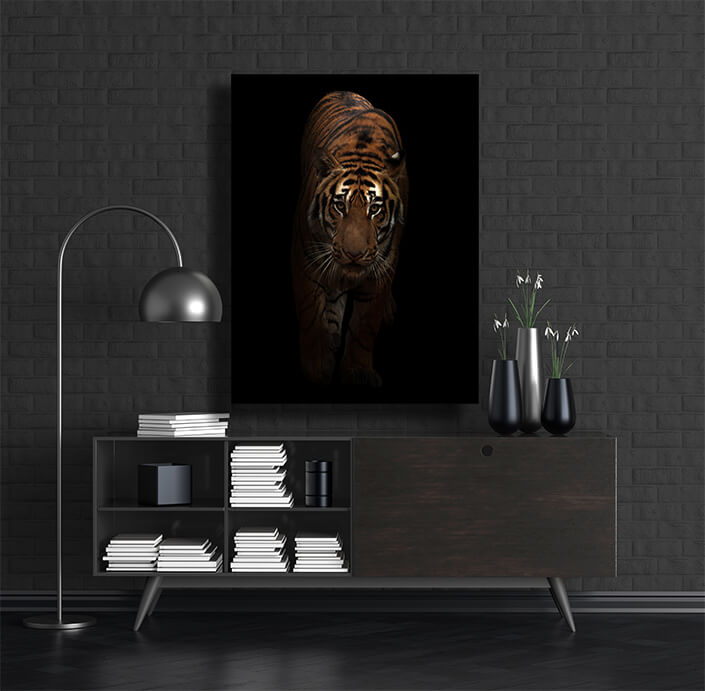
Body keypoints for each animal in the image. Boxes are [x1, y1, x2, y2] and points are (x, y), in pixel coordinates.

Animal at [292, 91, 408, 388]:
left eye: (375, 208)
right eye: (339, 206)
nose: (353, 254)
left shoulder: (381, 272)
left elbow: (364, 327)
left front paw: (357, 372)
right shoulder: (306, 261)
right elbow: (310, 314)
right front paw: (317, 366)